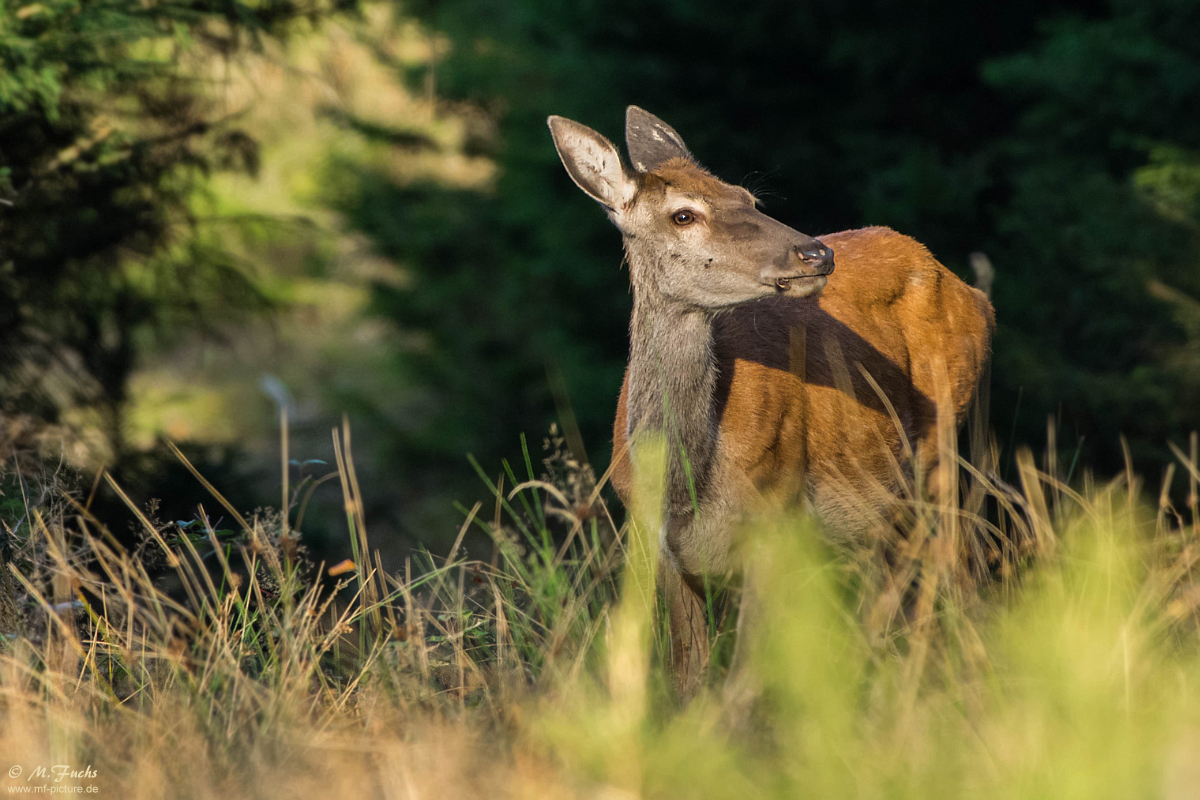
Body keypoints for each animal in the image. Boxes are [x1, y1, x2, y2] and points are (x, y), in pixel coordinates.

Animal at [547, 106, 993, 695]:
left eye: (749, 198)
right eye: (683, 215)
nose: (816, 252)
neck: (687, 485)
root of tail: (975, 295)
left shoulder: (776, 519)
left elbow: (743, 680)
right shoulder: (655, 542)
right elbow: (689, 676)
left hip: (942, 446)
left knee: (952, 575)